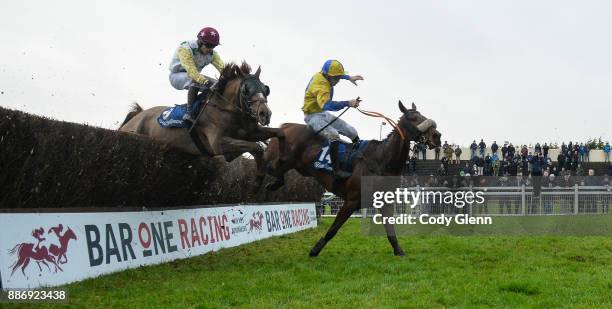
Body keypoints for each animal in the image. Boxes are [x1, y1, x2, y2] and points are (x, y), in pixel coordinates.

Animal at [118, 62, 286, 188]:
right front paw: (259, 180)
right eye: (246, 90)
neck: (225, 109)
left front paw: (278, 174)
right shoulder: (218, 144)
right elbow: (256, 147)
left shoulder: (250, 133)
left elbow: (278, 134)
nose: (265, 113)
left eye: (265, 88)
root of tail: (137, 116)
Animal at [258, 101, 440, 255]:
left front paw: (398, 250)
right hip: (286, 159)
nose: (437, 136)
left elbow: (390, 229)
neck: (380, 161)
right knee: (270, 165)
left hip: (301, 167)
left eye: (422, 115)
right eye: (413, 118)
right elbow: (333, 229)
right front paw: (315, 250)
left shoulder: (385, 202)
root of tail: (287, 126)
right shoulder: (351, 200)